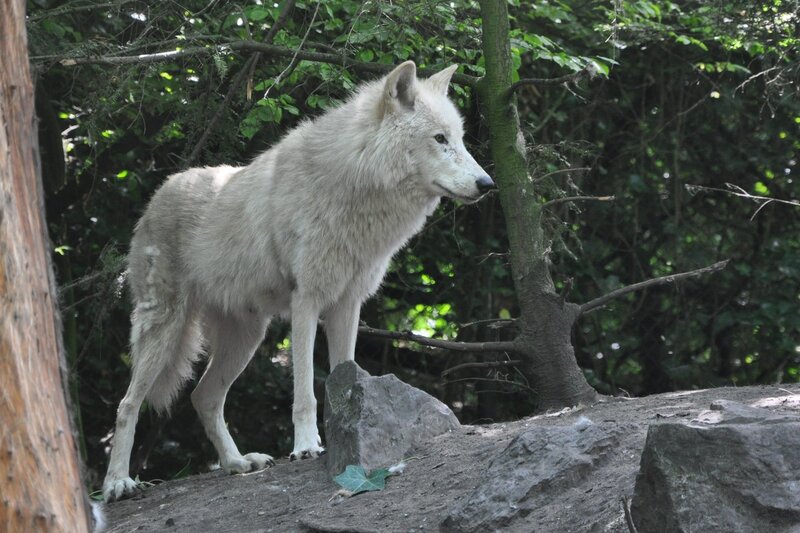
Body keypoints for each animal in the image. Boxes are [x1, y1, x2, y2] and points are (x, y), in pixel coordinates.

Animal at [102, 61, 493, 502]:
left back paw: (237, 463)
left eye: (460, 139)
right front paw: (306, 446)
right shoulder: (306, 301)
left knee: (204, 397)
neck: (354, 181)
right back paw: (117, 483)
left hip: (246, 337)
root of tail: (157, 195)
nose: (488, 185)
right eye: (440, 139)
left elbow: (344, 373)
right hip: (166, 331)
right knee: (127, 404)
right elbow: (305, 390)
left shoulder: (347, 305)